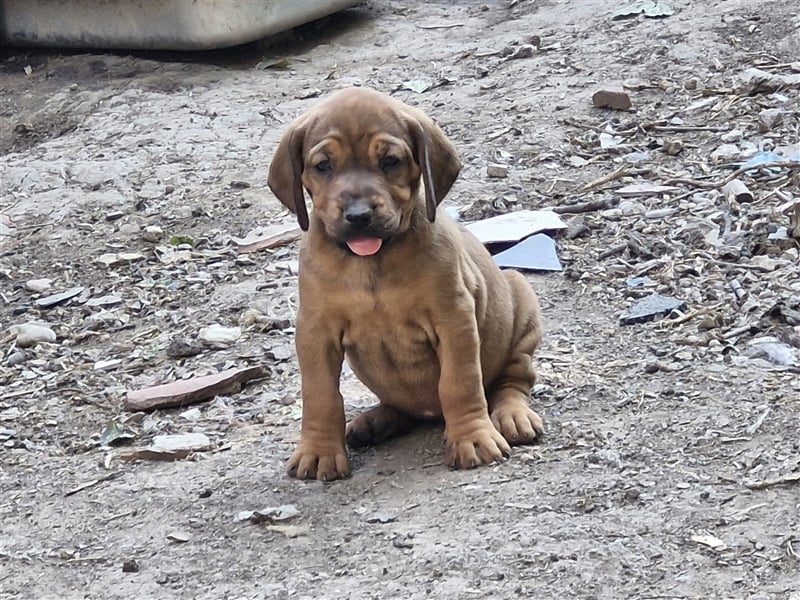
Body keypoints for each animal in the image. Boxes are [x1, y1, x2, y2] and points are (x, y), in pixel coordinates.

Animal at [268, 86, 544, 480]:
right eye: (323, 165)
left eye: (390, 161)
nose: (358, 215)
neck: (371, 263)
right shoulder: (315, 331)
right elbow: (320, 395)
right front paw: (318, 451)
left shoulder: (454, 318)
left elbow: (460, 384)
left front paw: (473, 438)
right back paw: (374, 421)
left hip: (521, 304)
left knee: (512, 381)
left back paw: (512, 415)